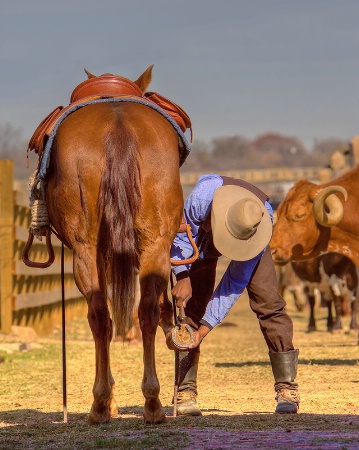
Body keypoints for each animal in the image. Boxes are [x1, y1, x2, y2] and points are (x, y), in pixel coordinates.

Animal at [44, 65, 184, 424]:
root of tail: (118, 126)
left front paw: (110, 401)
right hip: (153, 244)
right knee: (145, 312)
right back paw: (152, 404)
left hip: (86, 250)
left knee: (100, 317)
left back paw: (99, 406)